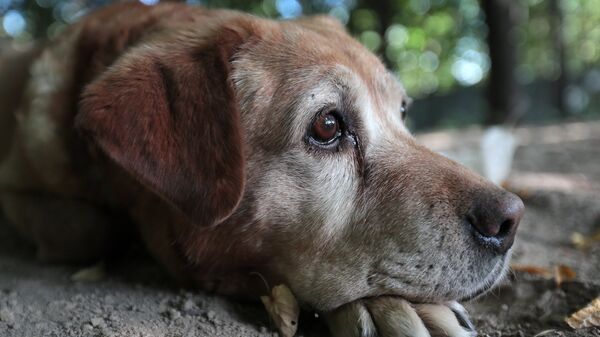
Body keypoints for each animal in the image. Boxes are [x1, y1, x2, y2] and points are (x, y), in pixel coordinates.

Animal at [0, 3, 520, 336]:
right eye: (328, 126)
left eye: (403, 111)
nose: (510, 220)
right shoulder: (19, 192)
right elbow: (93, 230)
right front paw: (390, 307)